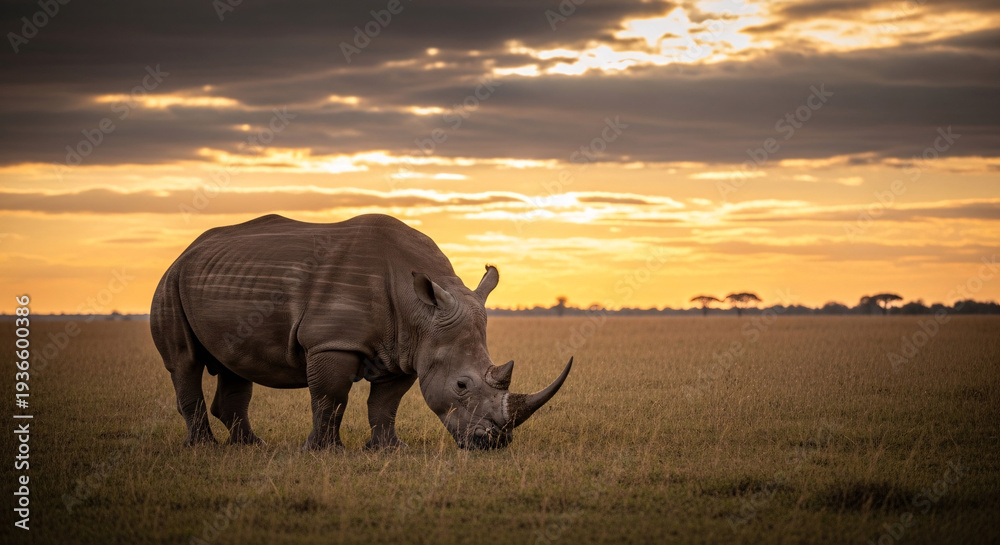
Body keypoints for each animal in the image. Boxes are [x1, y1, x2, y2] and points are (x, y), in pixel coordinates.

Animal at [150, 214, 572, 450]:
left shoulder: (407, 349)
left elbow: (385, 404)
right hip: (170, 281)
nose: (496, 442)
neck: (420, 309)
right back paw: (204, 448)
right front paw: (323, 451)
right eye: (461, 385)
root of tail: (187, 251)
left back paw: (250, 447)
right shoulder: (331, 342)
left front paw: (390, 450)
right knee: (185, 363)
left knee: (235, 365)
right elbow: (330, 397)